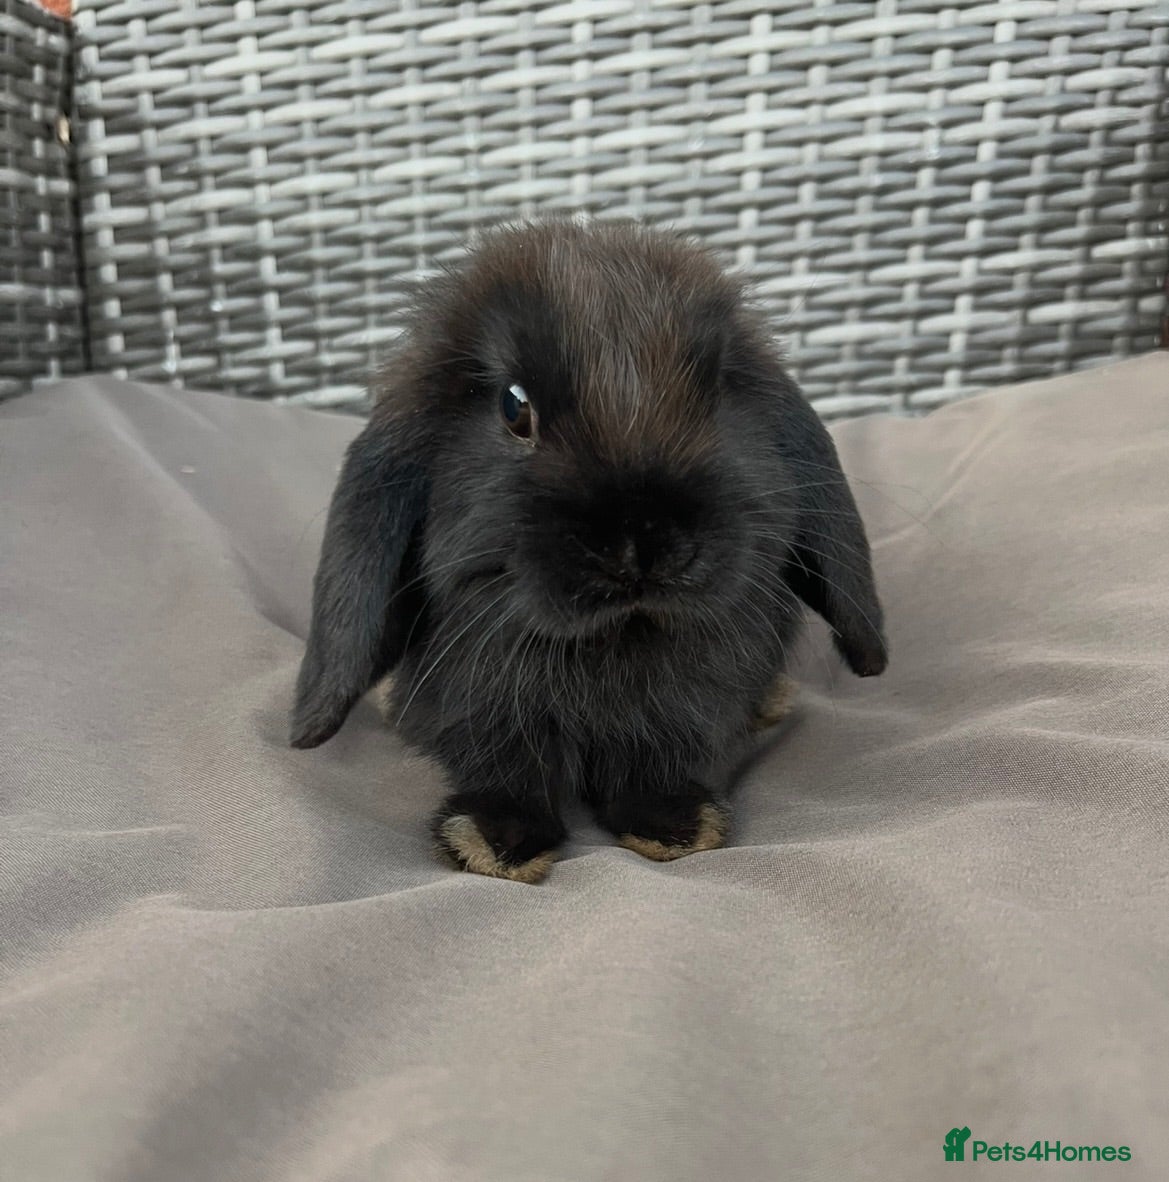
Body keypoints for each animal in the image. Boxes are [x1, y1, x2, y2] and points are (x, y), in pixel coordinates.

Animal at [290, 219, 887, 883]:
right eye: (514, 406)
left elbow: (653, 767)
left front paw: (675, 827)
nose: (644, 544)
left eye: (717, 392)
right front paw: (497, 843)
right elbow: (509, 773)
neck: (614, 641)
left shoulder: (678, 716)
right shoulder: (487, 713)